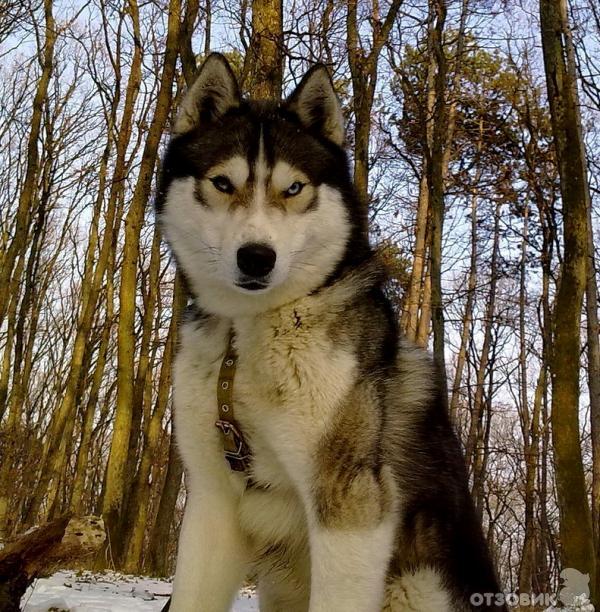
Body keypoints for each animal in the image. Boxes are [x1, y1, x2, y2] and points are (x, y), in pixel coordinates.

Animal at [157, 53, 504, 612]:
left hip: (415, 584)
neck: (244, 340)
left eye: (294, 188)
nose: (257, 257)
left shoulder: (349, 503)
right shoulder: (211, 502)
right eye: (222, 183)